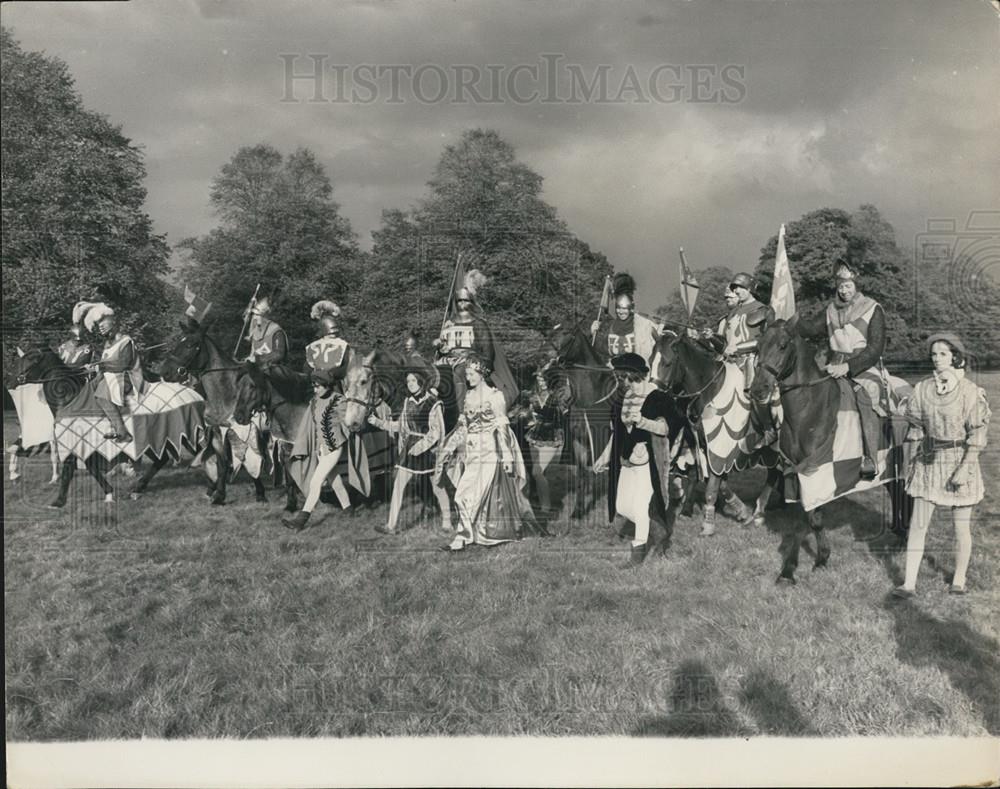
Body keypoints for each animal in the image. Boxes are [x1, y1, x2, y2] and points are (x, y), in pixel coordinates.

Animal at [15, 344, 182, 504]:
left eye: (31, 358)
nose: (16, 378)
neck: (70, 400)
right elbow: (91, 469)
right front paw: (108, 492)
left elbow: (71, 469)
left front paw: (58, 501)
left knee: (161, 459)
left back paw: (137, 488)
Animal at [153, 320, 272, 504]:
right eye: (178, 342)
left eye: (190, 344)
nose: (165, 372)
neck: (227, 393)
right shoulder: (217, 434)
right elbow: (221, 465)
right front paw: (219, 495)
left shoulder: (246, 432)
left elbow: (250, 459)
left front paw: (260, 493)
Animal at [652, 326, 784, 536]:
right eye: (650, 360)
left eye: (667, 362)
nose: (653, 396)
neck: (710, 388)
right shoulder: (702, 446)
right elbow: (717, 483)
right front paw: (739, 510)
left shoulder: (720, 448)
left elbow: (712, 485)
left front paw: (708, 524)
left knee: (775, 474)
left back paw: (761, 511)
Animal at [752, 316, 916, 584]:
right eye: (758, 347)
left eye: (783, 345)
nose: (758, 390)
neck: (809, 412)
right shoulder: (795, 474)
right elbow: (798, 521)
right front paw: (789, 569)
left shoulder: (816, 473)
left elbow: (814, 520)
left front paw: (819, 559)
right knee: (896, 495)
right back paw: (898, 534)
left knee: (907, 497)